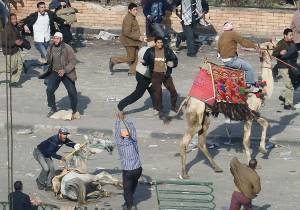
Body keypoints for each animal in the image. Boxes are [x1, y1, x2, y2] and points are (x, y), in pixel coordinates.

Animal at [178, 41, 274, 178]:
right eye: (271, 45)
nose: (278, 48)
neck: (262, 90)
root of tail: (188, 98)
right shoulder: (248, 114)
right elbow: (246, 141)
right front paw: (252, 162)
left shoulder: (252, 113)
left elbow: (266, 123)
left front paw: (263, 149)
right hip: (196, 113)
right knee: (184, 141)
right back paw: (184, 174)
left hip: (205, 116)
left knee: (201, 140)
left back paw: (216, 167)